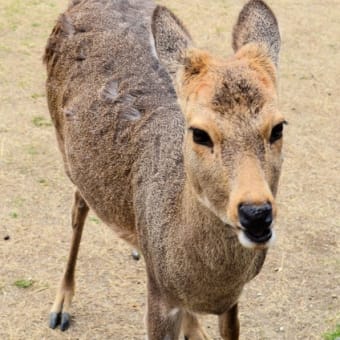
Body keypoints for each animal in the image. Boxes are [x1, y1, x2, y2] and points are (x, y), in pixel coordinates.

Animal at [44, 0, 284, 338]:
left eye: (278, 127)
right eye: (199, 133)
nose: (256, 213)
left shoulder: (232, 300)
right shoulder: (158, 296)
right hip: (64, 147)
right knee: (79, 203)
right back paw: (61, 306)